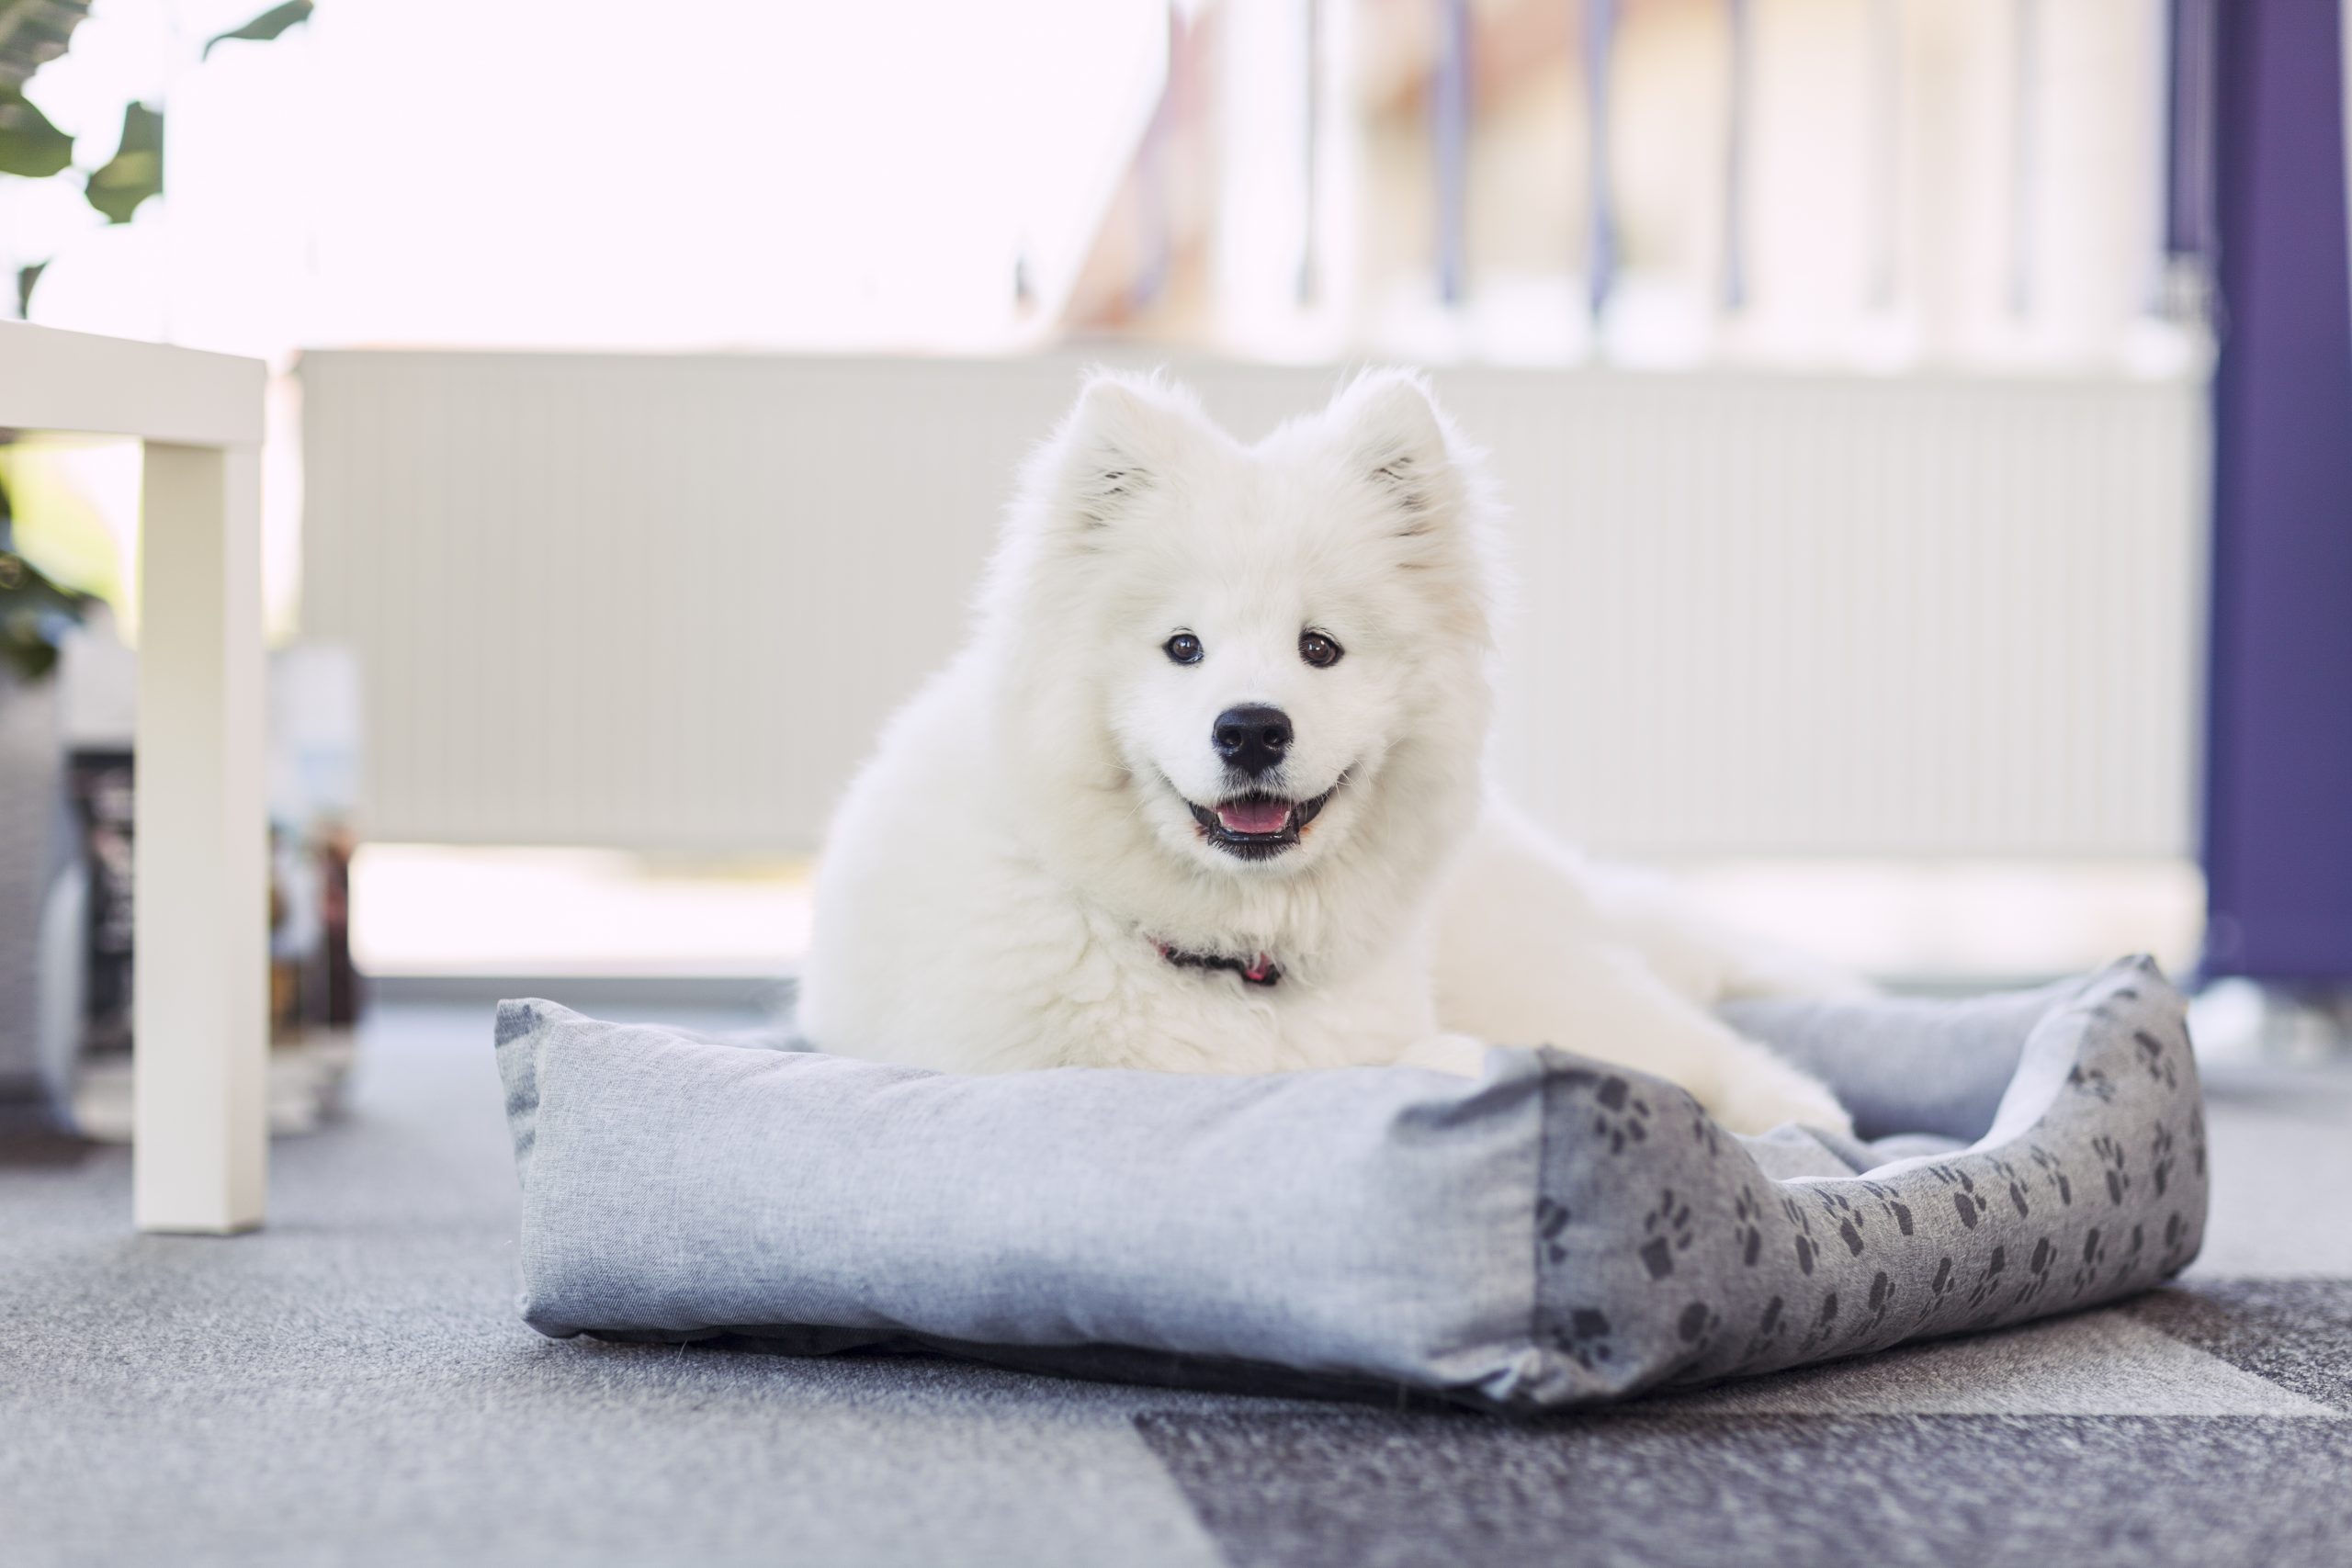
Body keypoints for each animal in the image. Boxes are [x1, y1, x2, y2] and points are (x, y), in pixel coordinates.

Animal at [799, 371, 1862, 1128]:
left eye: (1320, 647)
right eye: (1182, 647)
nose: (1251, 728)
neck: (1232, 963)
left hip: (1536, 976)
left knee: (1687, 1050)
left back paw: (1797, 1116)